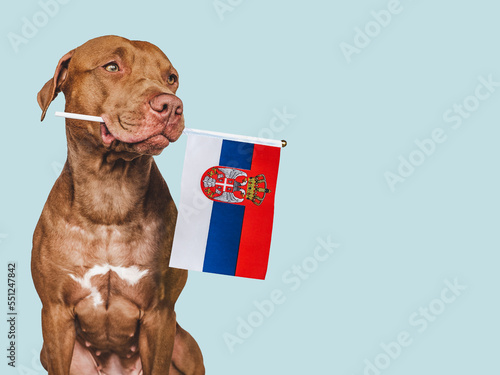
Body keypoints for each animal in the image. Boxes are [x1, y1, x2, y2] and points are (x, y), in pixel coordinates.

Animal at [32, 36, 204, 375]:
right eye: (112, 67)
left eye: (171, 78)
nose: (171, 106)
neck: (110, 194)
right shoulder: (55, 314)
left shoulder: (160, 314)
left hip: (186, 346)